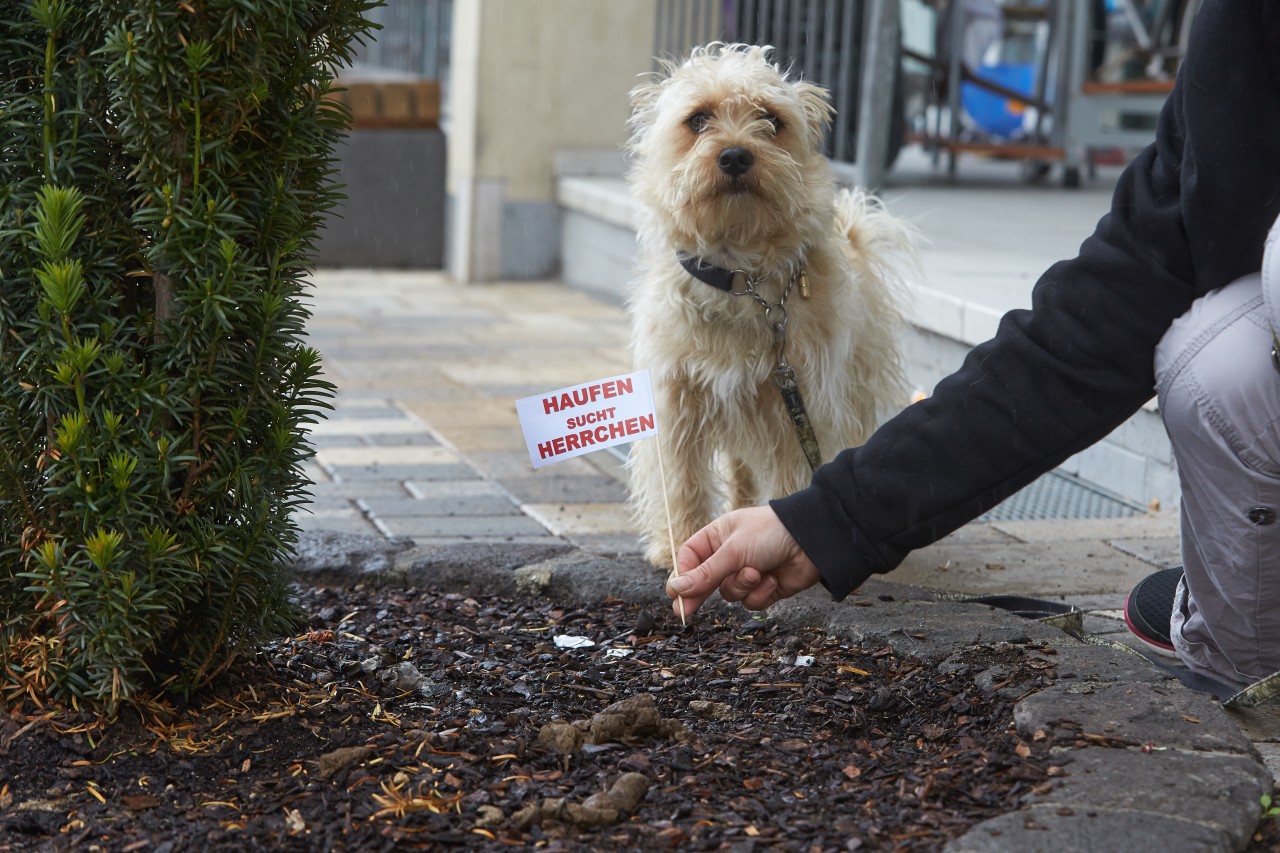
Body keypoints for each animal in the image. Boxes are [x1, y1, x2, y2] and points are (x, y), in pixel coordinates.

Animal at [624, 43, 916, 568]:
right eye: (698, 120)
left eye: (771, 120)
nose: (736, 154)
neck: (741, 280)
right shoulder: (677, 402)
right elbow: (683, 482)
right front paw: (680, 547)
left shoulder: (799, 408)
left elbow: (793, 478)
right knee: (740, 474)